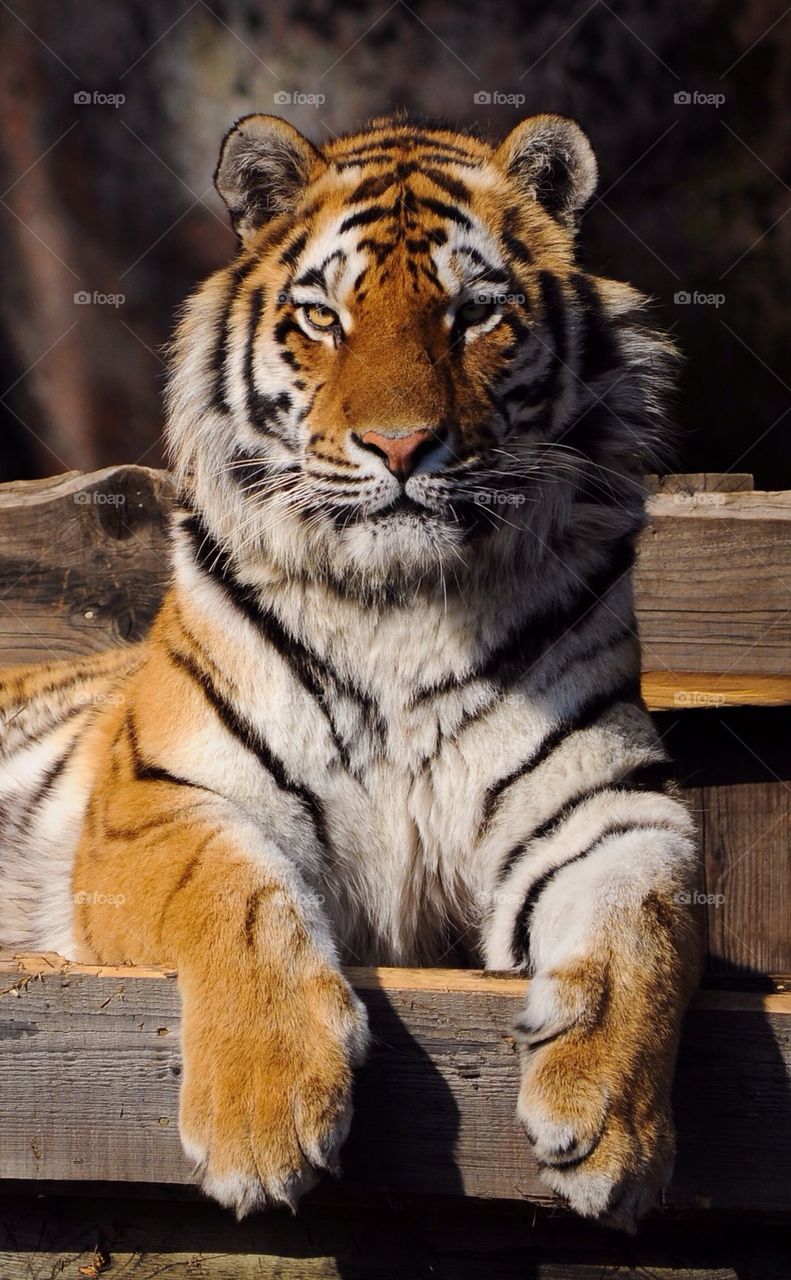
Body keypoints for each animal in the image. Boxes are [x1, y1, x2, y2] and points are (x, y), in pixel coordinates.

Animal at [1, 117, 696, 1228]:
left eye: (473, 313)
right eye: (323, 316)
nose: (400, 446)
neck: (400, 609)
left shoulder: (607, 804)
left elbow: (643, 922)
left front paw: (610, 1127)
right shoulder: (159, 800)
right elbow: (236, 893)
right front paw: (263, 1114)